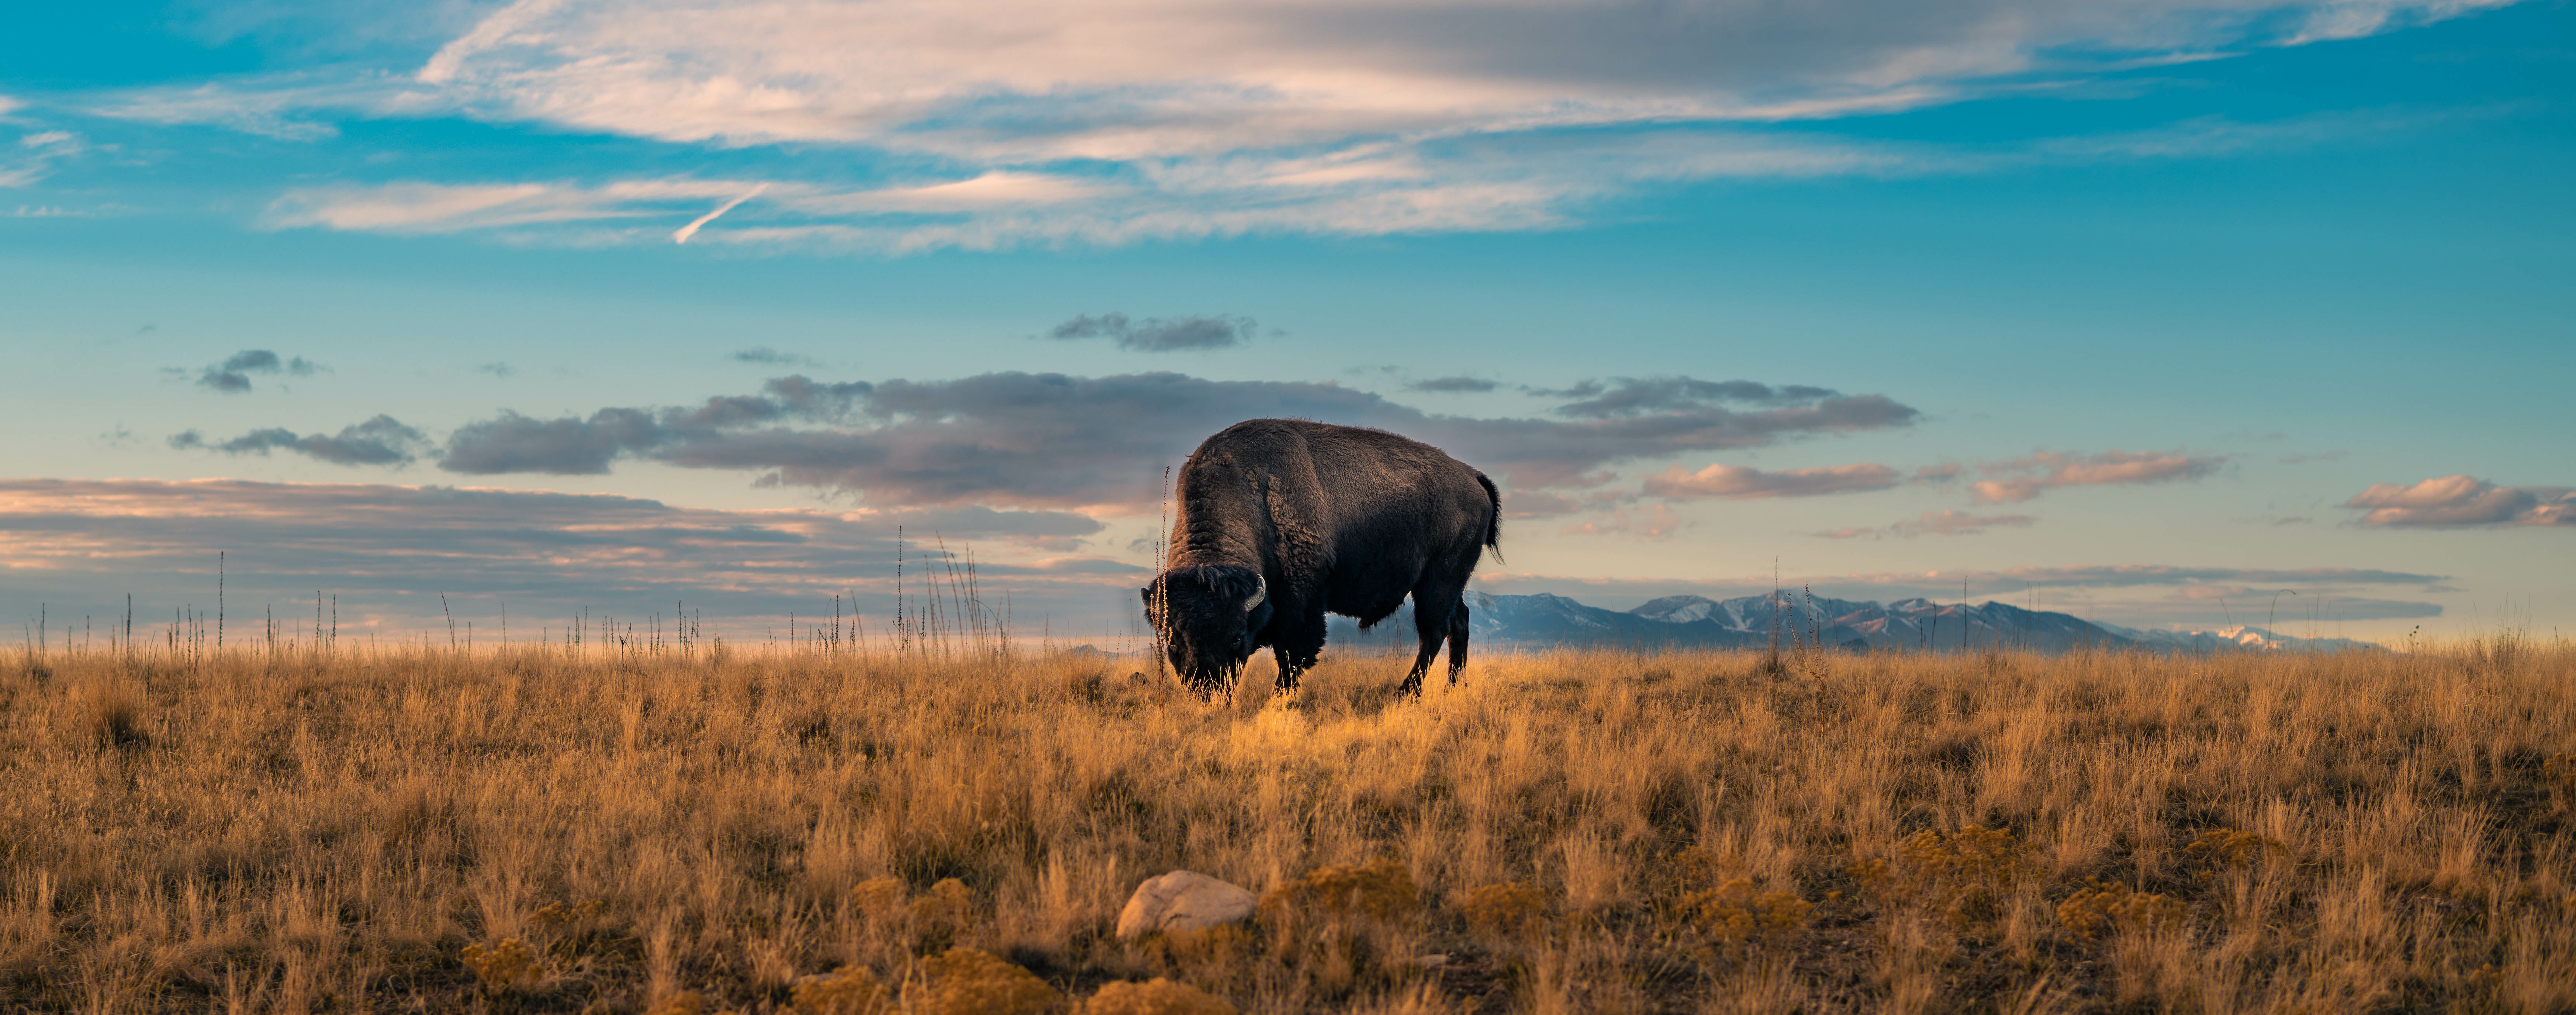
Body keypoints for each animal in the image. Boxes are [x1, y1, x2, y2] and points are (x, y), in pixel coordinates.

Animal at [1138, 417, 1504, 695]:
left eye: (1237, 636)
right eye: (1172, 643)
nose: (1207, 690)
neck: (1252, 501)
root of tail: (1472, 477)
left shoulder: (1300, 607)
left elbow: (1291, 658)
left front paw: (1280, 699)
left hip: (1439, 580)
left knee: (1433, 633)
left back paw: (1406, 693)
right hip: (1447, 584)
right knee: (1458, 622)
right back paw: (1451, 688)